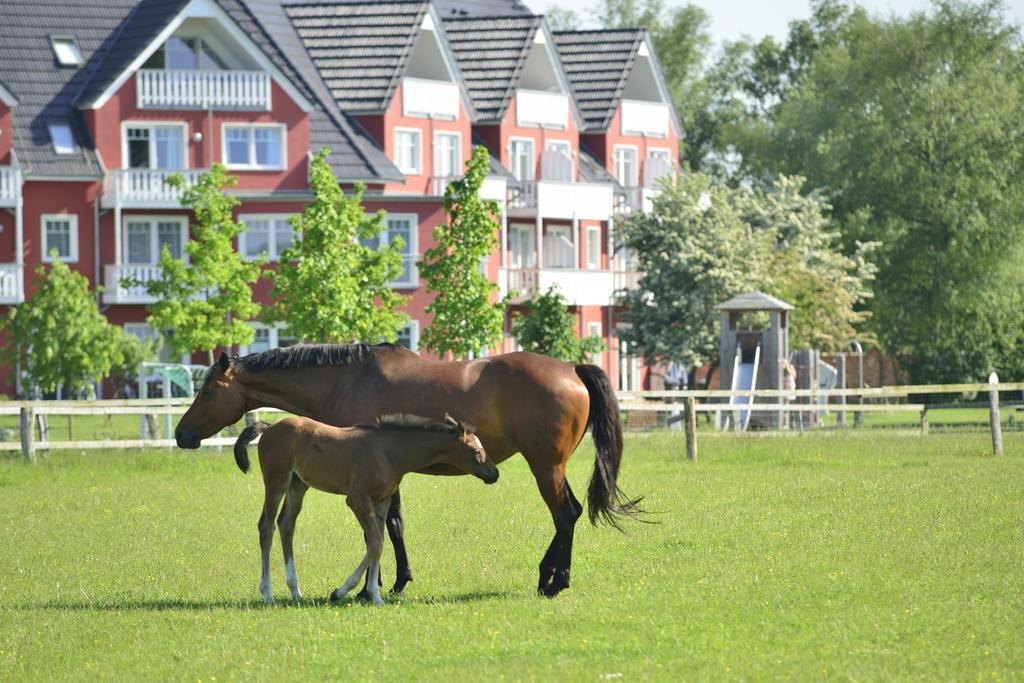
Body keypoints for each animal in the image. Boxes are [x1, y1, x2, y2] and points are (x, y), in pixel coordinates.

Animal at [232, 413, 495, 606]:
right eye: (475, 451)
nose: (495, 474)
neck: (388, 452)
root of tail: (269, 427)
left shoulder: (382, 501)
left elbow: (378, 543)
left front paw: (373, 595)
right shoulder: (357, 499)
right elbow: (376, 542)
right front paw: (343, 592)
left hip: (298, 485)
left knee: (286, 524)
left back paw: (295, 591)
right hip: (276, 481)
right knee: (266, 527)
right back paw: (267, 593)